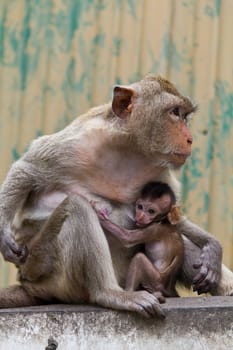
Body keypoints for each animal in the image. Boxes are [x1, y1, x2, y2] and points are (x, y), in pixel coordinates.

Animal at [0, 74, 231, 318]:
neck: (129, 148)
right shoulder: (76, 143)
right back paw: (111, 294)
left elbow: (174, 216)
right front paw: (4, 237)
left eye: (184, 115)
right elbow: (26, 170)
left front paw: (212, 248)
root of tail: (30, 284)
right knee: (77, 208)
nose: (189, 139)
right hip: (51, 272)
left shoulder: (159, 169)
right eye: (175, 112)